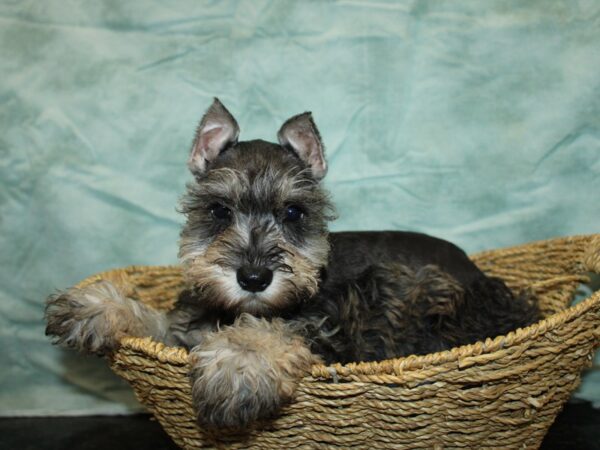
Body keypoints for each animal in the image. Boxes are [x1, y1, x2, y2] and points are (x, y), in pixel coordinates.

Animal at [45, 97, 540, 428]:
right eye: (218, 210)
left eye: (293, 213)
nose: (253, 277)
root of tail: (479, 273)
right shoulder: (186, 330)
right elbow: (158, 321)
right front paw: (96, 306)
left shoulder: (329, 330)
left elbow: (276, 329)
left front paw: (238, 364)